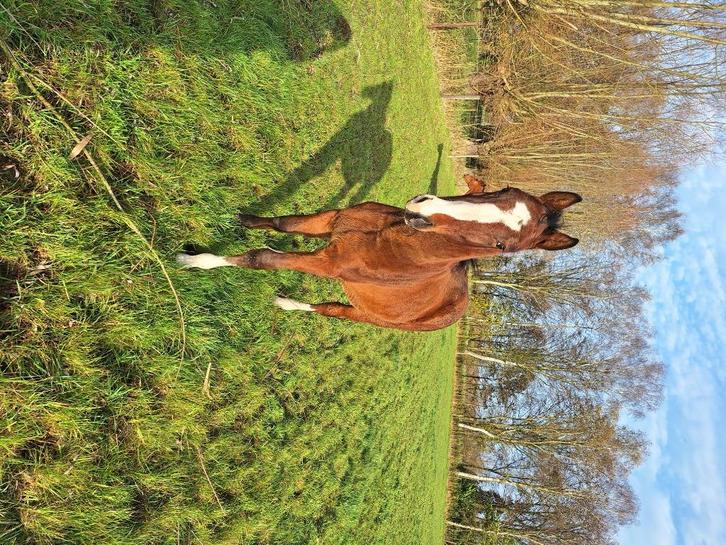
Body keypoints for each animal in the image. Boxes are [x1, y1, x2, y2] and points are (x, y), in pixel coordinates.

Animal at [177, 176, 582, 331]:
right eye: (502, 190)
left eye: (503, 247)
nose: (423, 207)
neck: (389, 240)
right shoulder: (335, 219)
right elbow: (283, 224)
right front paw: (243, 218)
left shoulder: (329, 264)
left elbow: (261, 257)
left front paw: (195, 260)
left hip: (368, 315)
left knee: (332, 310)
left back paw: (286, 304)